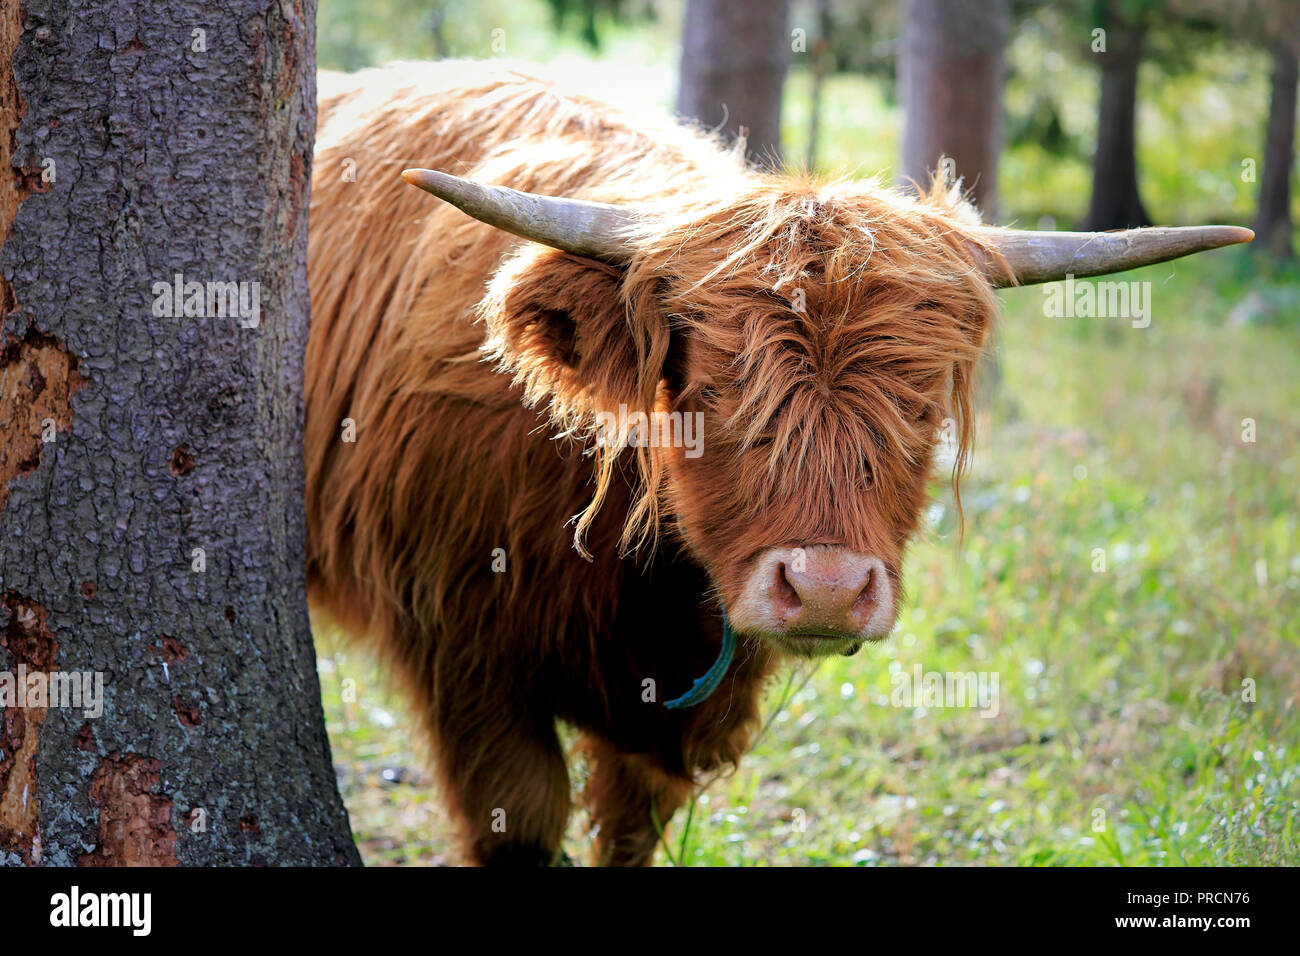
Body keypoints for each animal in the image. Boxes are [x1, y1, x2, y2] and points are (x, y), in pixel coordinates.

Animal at [304, 59, 1248, 868]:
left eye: (921, 407)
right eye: (710, 394)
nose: (826, 589)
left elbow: (631, 829)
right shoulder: (462, 651)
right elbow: (523, 820)